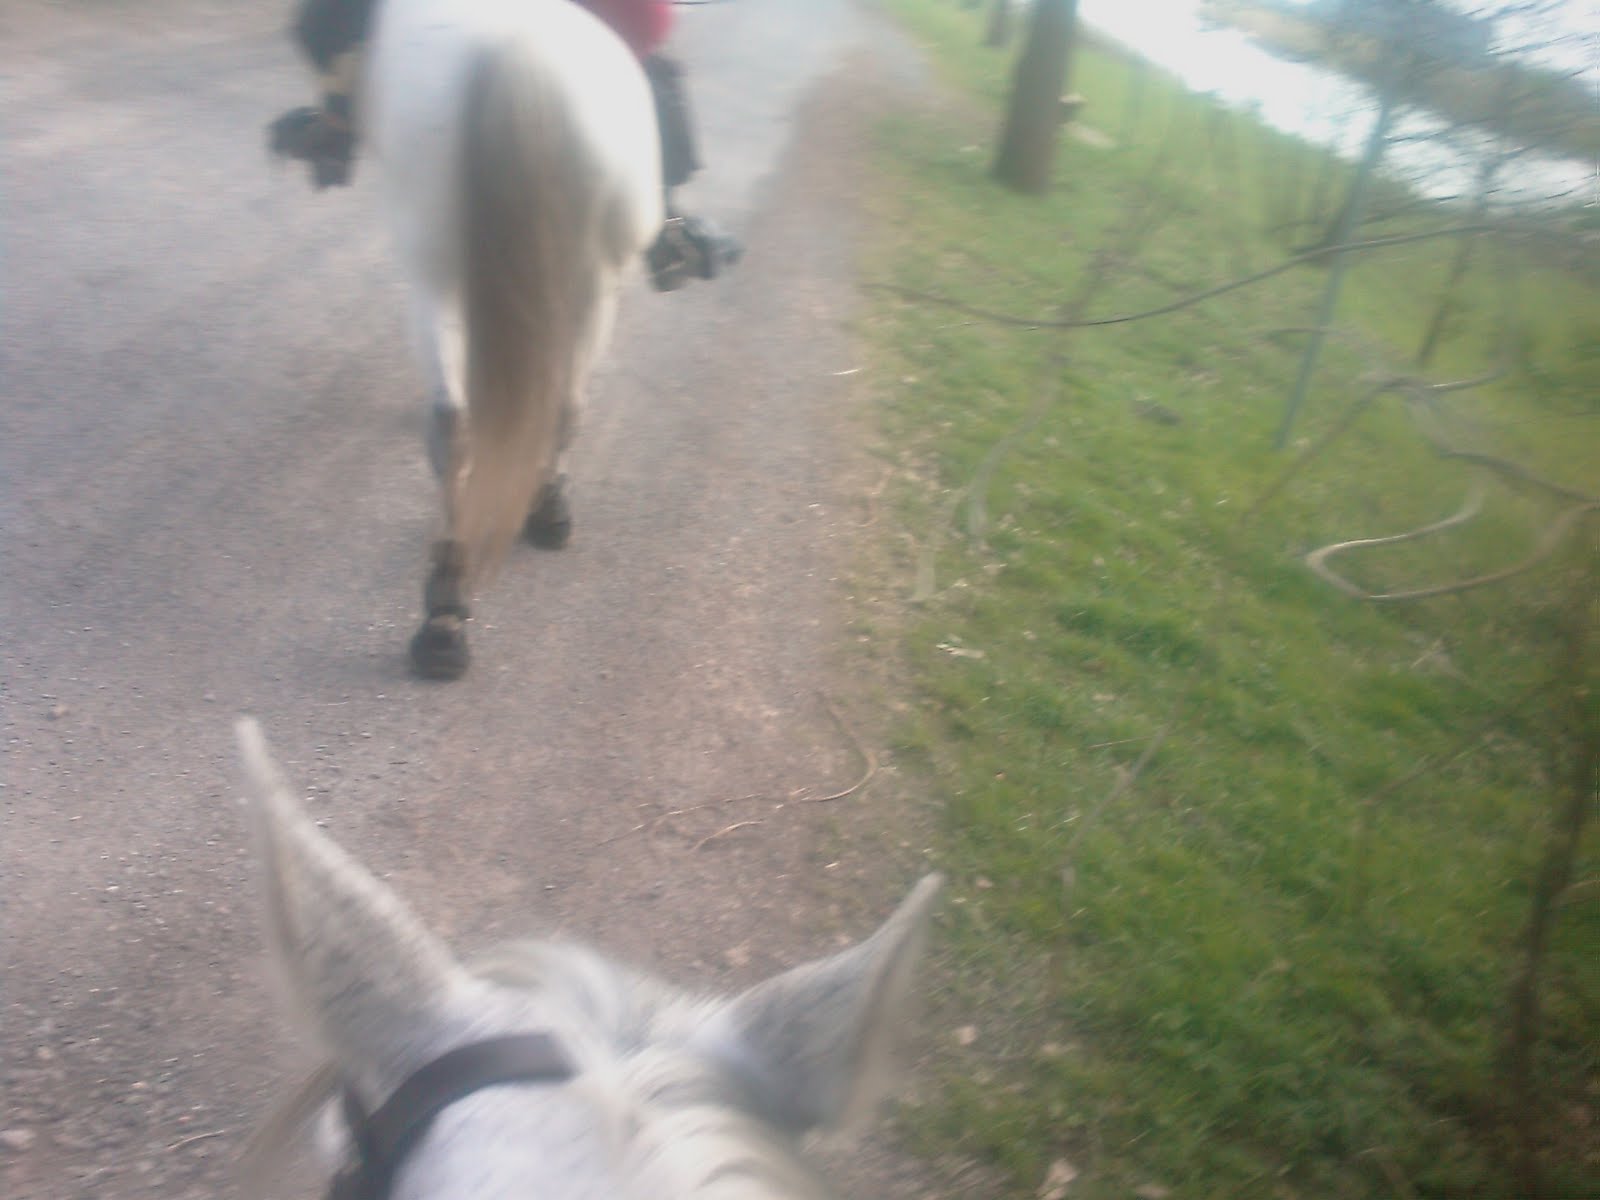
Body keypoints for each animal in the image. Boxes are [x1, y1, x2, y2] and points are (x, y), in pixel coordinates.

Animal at [353, 0, 664, 678]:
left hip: (439, 270)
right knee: (557, 405)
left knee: (458, 419)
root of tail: (518, 47)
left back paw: (446, 604)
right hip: (588, 282)